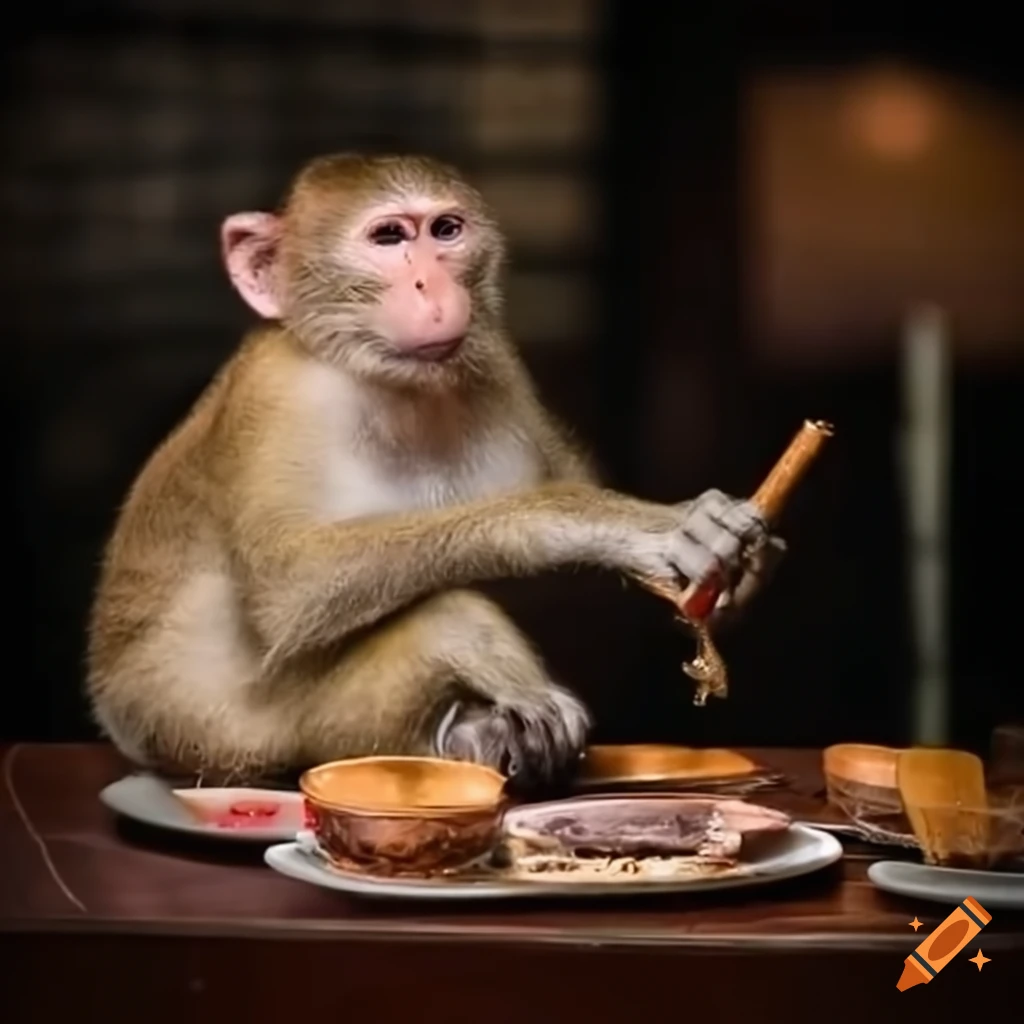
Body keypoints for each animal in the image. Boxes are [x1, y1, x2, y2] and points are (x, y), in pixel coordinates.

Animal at [85, 153, 784, 790]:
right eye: (389, 238)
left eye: (445, 230)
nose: (432, 285)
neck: (395, 386)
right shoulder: (283, 391)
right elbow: (293, 582)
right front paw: (606, 527)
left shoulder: (497, 360)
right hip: (219, 737)